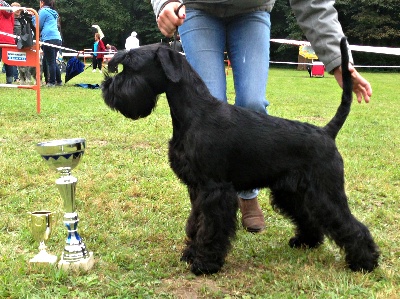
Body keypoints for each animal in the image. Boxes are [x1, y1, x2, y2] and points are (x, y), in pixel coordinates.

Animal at [101, 38, 380, 276]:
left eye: (131, 67)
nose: (106, 87)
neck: (195, 113)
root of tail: (326, 132)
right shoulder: (197, 188)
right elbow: (196, 222)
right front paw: (191, 253)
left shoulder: (214, 189)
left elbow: (210, 226)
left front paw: (204, 263)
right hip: (292, 191)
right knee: (309, 216)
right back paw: (305, 242)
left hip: (325, 191)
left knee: (349, 223)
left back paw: (365, 262)